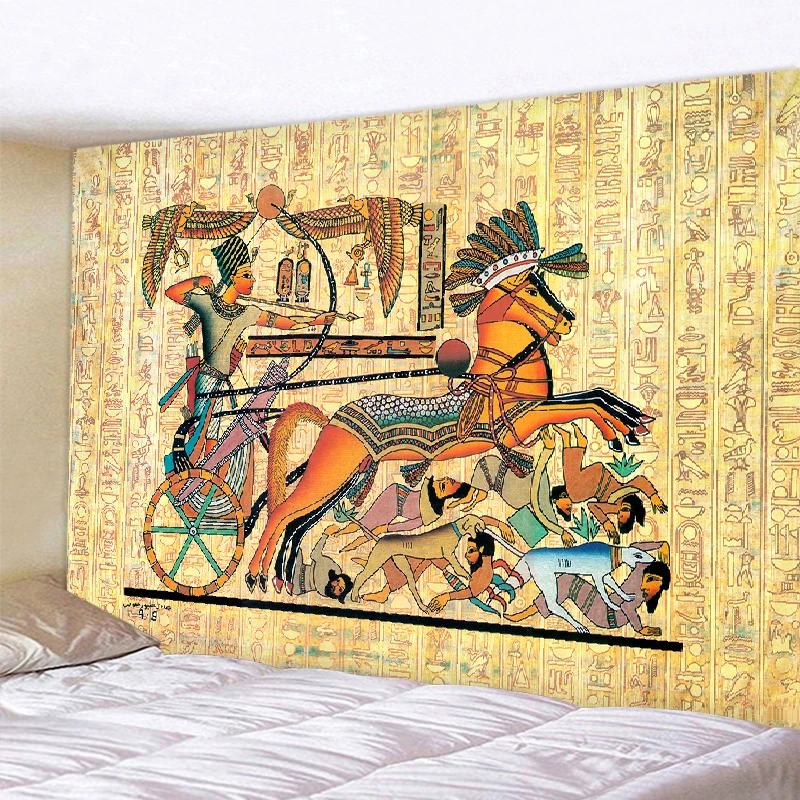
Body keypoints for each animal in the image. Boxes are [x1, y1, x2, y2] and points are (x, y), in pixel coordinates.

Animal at [245, 263, 652, 592]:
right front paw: (619, 435)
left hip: (346, 477)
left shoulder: (536, 414)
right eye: (533, 290)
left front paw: (634, 422)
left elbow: (593, 395)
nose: (567, 318)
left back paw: (282, 578)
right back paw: (255, 575)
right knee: (281, 514)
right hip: (330, 474)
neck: (503, 376)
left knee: (298, 524)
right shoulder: (524, 423)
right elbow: (587, 405)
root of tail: (331, 419)